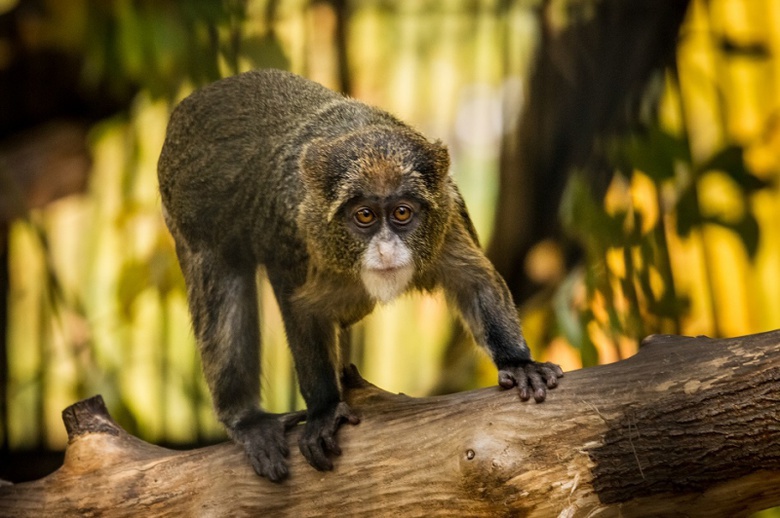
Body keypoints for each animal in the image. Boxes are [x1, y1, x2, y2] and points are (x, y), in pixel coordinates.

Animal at [157, 68, 560, 484]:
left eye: (402, 213)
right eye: (364, 215)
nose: (385, 249)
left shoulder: (446, 217)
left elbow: (475, 281)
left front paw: (518, 363)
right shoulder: (293, 238)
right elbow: (301, 310)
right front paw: (324, 410)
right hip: (190, 222)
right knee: (222, 303)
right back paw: (248, 420)